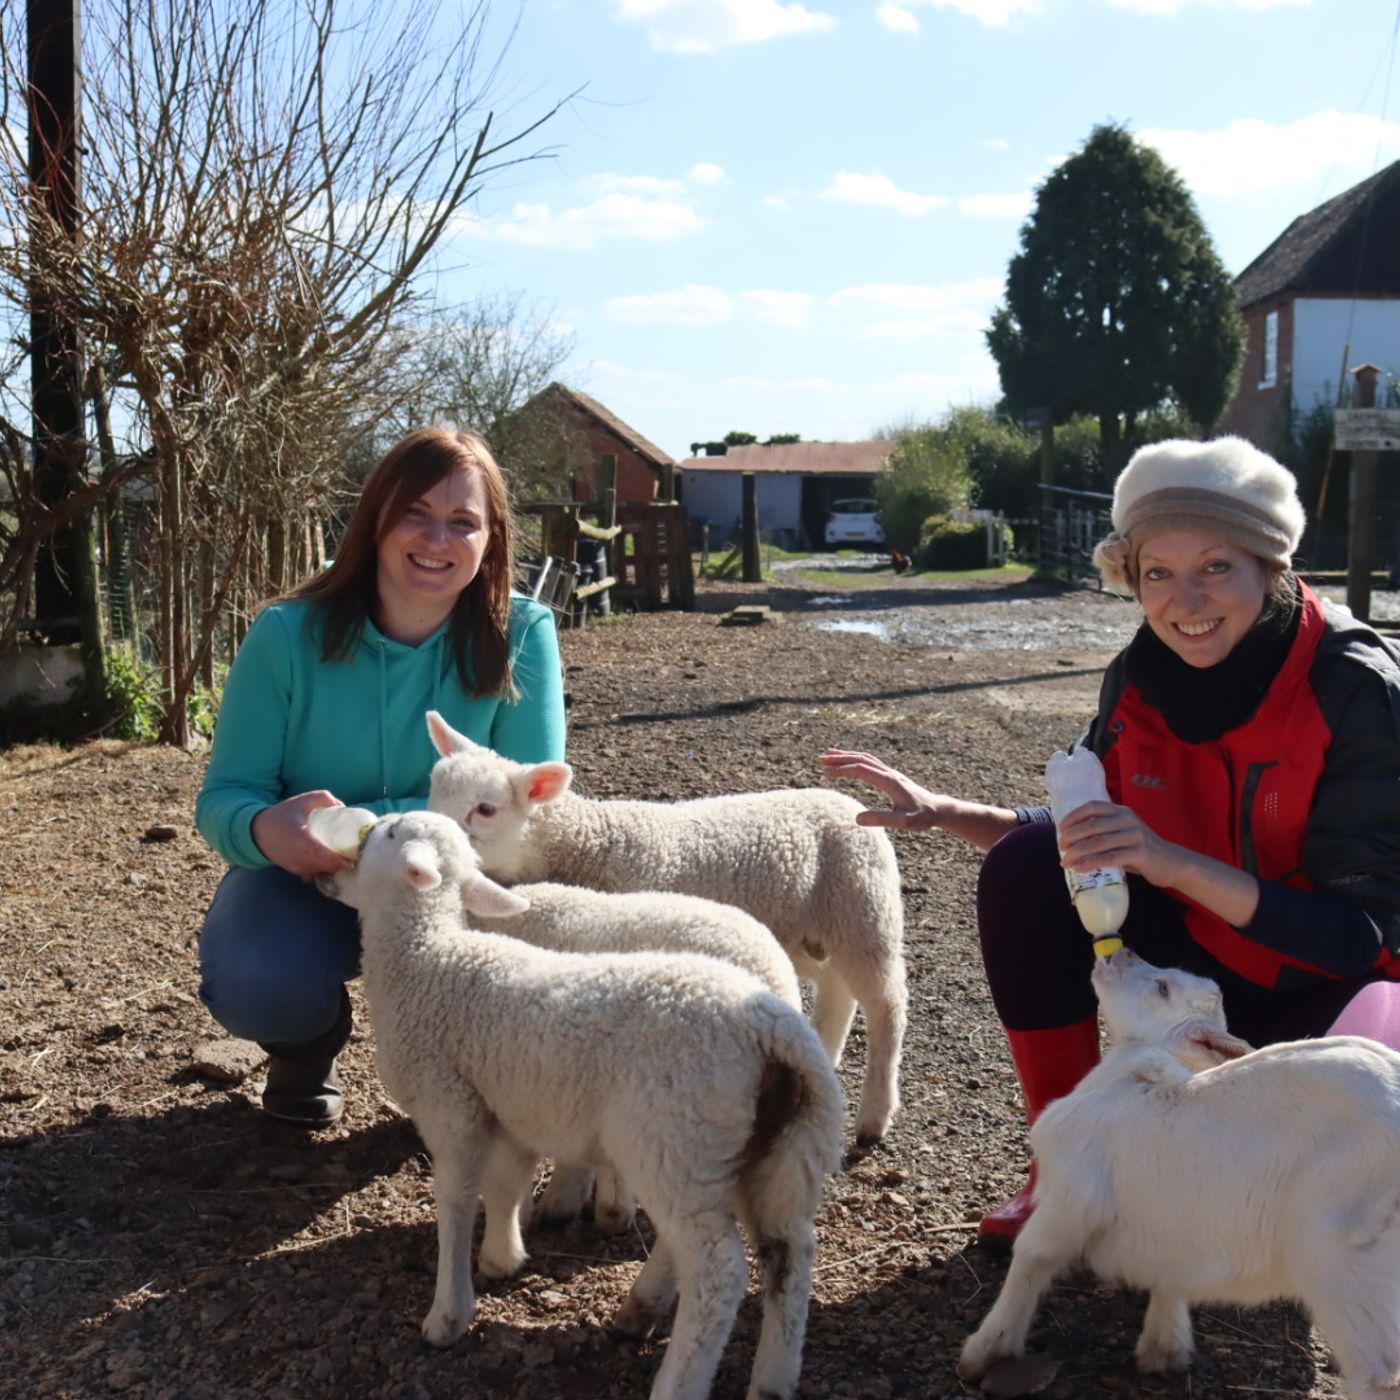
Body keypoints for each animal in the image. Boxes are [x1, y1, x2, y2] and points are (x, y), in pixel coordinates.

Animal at [422, 705, 907, 1142]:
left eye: (486, 809)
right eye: (432, 790)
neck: (587, 843)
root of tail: (843, 799)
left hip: (865, 909)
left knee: (886, 1005)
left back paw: (874, 1115)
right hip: (806, 932)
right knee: (837, 988)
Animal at [957, 952, 1400, 1400]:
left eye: (1163, 988)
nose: (1118, 954)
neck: (1135, 1080)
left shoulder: (1070, 1197)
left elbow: (1031, 1257)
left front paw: (983, 1352)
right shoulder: (1177, 1220)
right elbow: (1169, 1271)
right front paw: (1163, 1350)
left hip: (1342, 1257)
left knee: (1379, 1371)